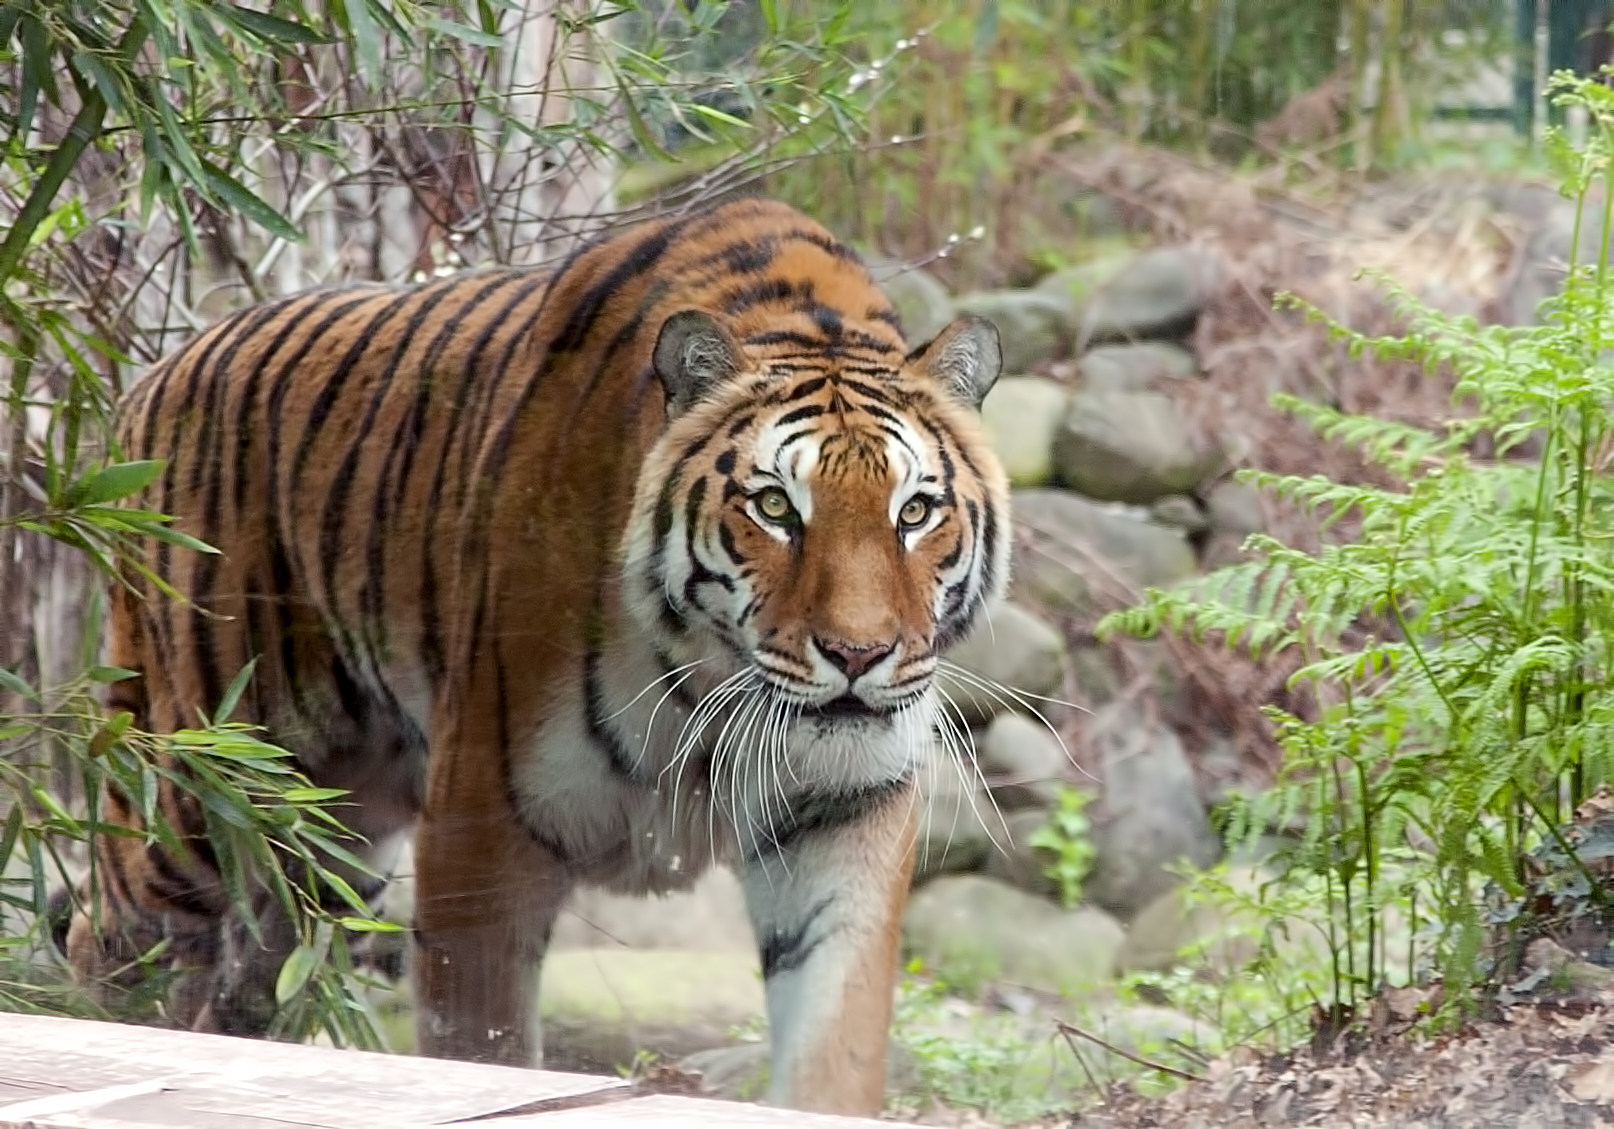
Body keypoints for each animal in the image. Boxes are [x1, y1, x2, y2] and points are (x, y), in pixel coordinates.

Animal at [64, 196, 1010, 1116]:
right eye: (775, 506)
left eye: (916, 511)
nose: (859, 654)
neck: (712, 682)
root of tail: (148, 381)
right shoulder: (484, 829)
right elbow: (481, 1046)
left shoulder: (843, 813)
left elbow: (834, 1042)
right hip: (200, 786)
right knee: (105, 933)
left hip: (325, 841)